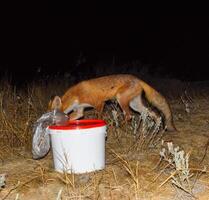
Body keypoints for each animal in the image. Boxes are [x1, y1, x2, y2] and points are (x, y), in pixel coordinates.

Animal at [48, 73, 176, 131]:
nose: (49, 126)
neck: (76, 95)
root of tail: (138, 79)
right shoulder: (80, 111)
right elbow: (73, 117)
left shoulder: (99, 103)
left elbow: (98, 117)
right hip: (135, 105)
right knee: (152, 113)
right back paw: (155, 127)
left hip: (121, 100)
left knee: (129, 116)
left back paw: (118, 126)